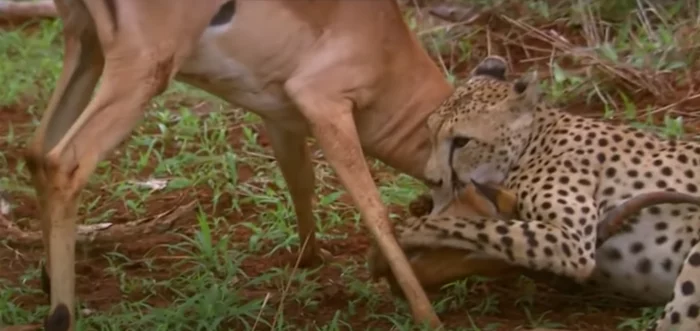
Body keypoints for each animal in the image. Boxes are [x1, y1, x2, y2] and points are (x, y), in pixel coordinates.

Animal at [392, 55, 700, 330]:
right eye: (429, 131)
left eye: (462, 141)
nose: (433, 179)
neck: (531, 142)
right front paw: (419, 209)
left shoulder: (574, 244)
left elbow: (475, 225)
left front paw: (409, 230)